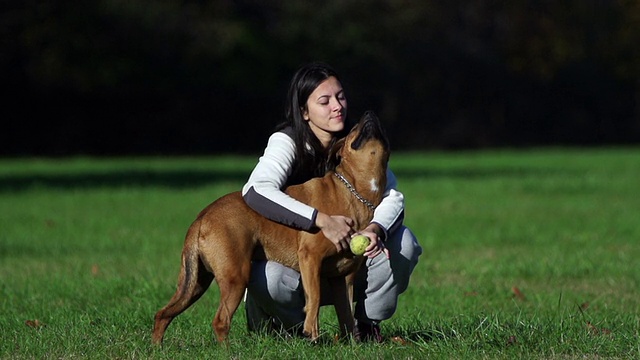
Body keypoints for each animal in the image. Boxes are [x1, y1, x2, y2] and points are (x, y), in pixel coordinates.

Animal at [151, 111, 390, 344]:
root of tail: (202, 217)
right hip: (235, 277)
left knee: (163, 314)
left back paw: (157, 348)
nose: (369, 113)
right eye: (354, 129)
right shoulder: (310, 258)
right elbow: (314, 298)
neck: (354, 190)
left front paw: (353, 344)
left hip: (194, 284)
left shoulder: (342, 279)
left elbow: (346, 315)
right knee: (220, 321)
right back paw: (227, 350)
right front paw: (311, 334)